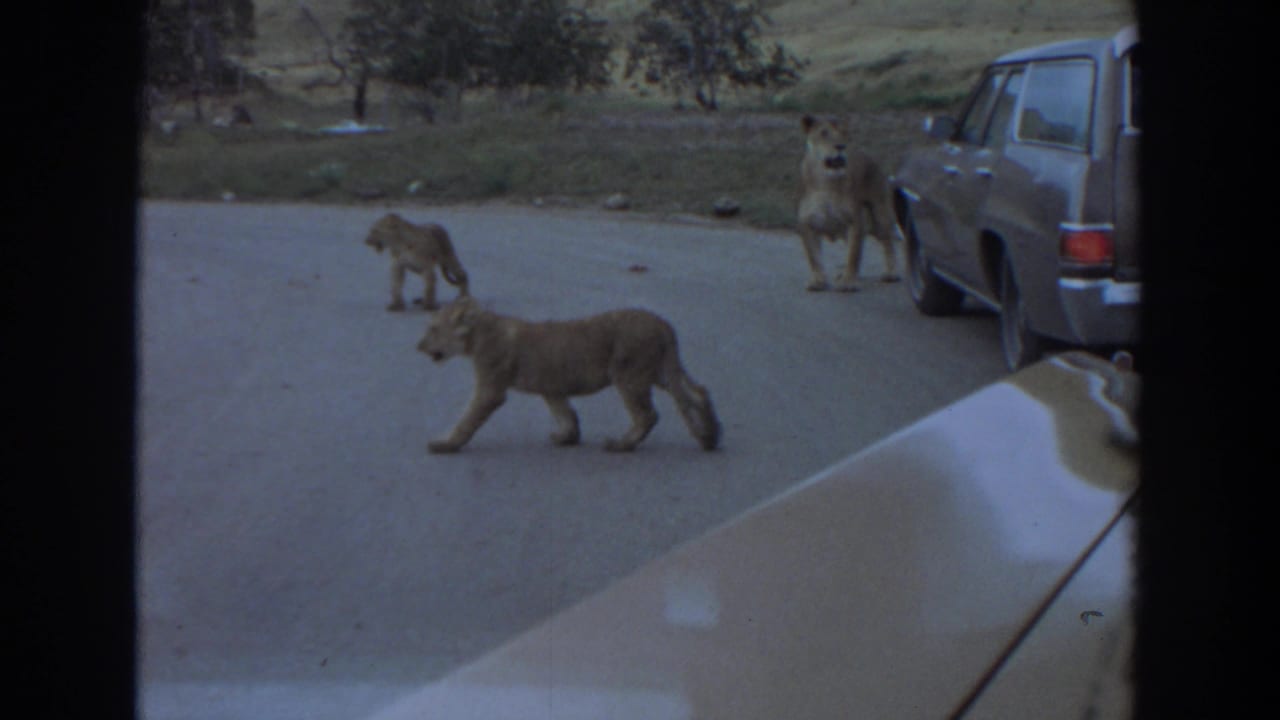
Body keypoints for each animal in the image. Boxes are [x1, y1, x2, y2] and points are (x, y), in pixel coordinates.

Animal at [416, 297, 721, 454]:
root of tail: (663, 323)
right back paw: (710, 437)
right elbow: (565, 413)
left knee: (648, 415)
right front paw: (567, 438)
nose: (419, 346)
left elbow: (467, 419)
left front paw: (445, 443)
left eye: (433, 329)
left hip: (630, 373)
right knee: (698, 392)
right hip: (659, 370)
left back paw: (621, 444)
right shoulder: (551, 386)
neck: (477, 335)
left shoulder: (491, 388)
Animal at [796, 114, 901, 291]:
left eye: (844, 133)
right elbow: (814, 257)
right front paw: (818, 280)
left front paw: (848, 282)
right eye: (824, 133)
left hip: (880, 217)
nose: (841, 146)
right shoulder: (807, 224)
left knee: (888, 243)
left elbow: (853, 254)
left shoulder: (856, 222)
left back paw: (891, 273)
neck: (826, 184)